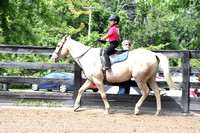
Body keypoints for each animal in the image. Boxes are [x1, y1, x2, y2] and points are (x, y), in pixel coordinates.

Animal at [50, 35, 179, 115]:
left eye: (58, 46)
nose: (52, 57)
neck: (87, 56)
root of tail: (153, 54)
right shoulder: (91, 80)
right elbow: (81, 90)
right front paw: (76, 106)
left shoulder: (98, 80)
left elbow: (103, 95)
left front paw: (107, 110)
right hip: (151, 79)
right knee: (157, 92)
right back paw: (157, 111)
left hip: (140, 79)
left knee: (146, 91)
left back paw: (137, 109)